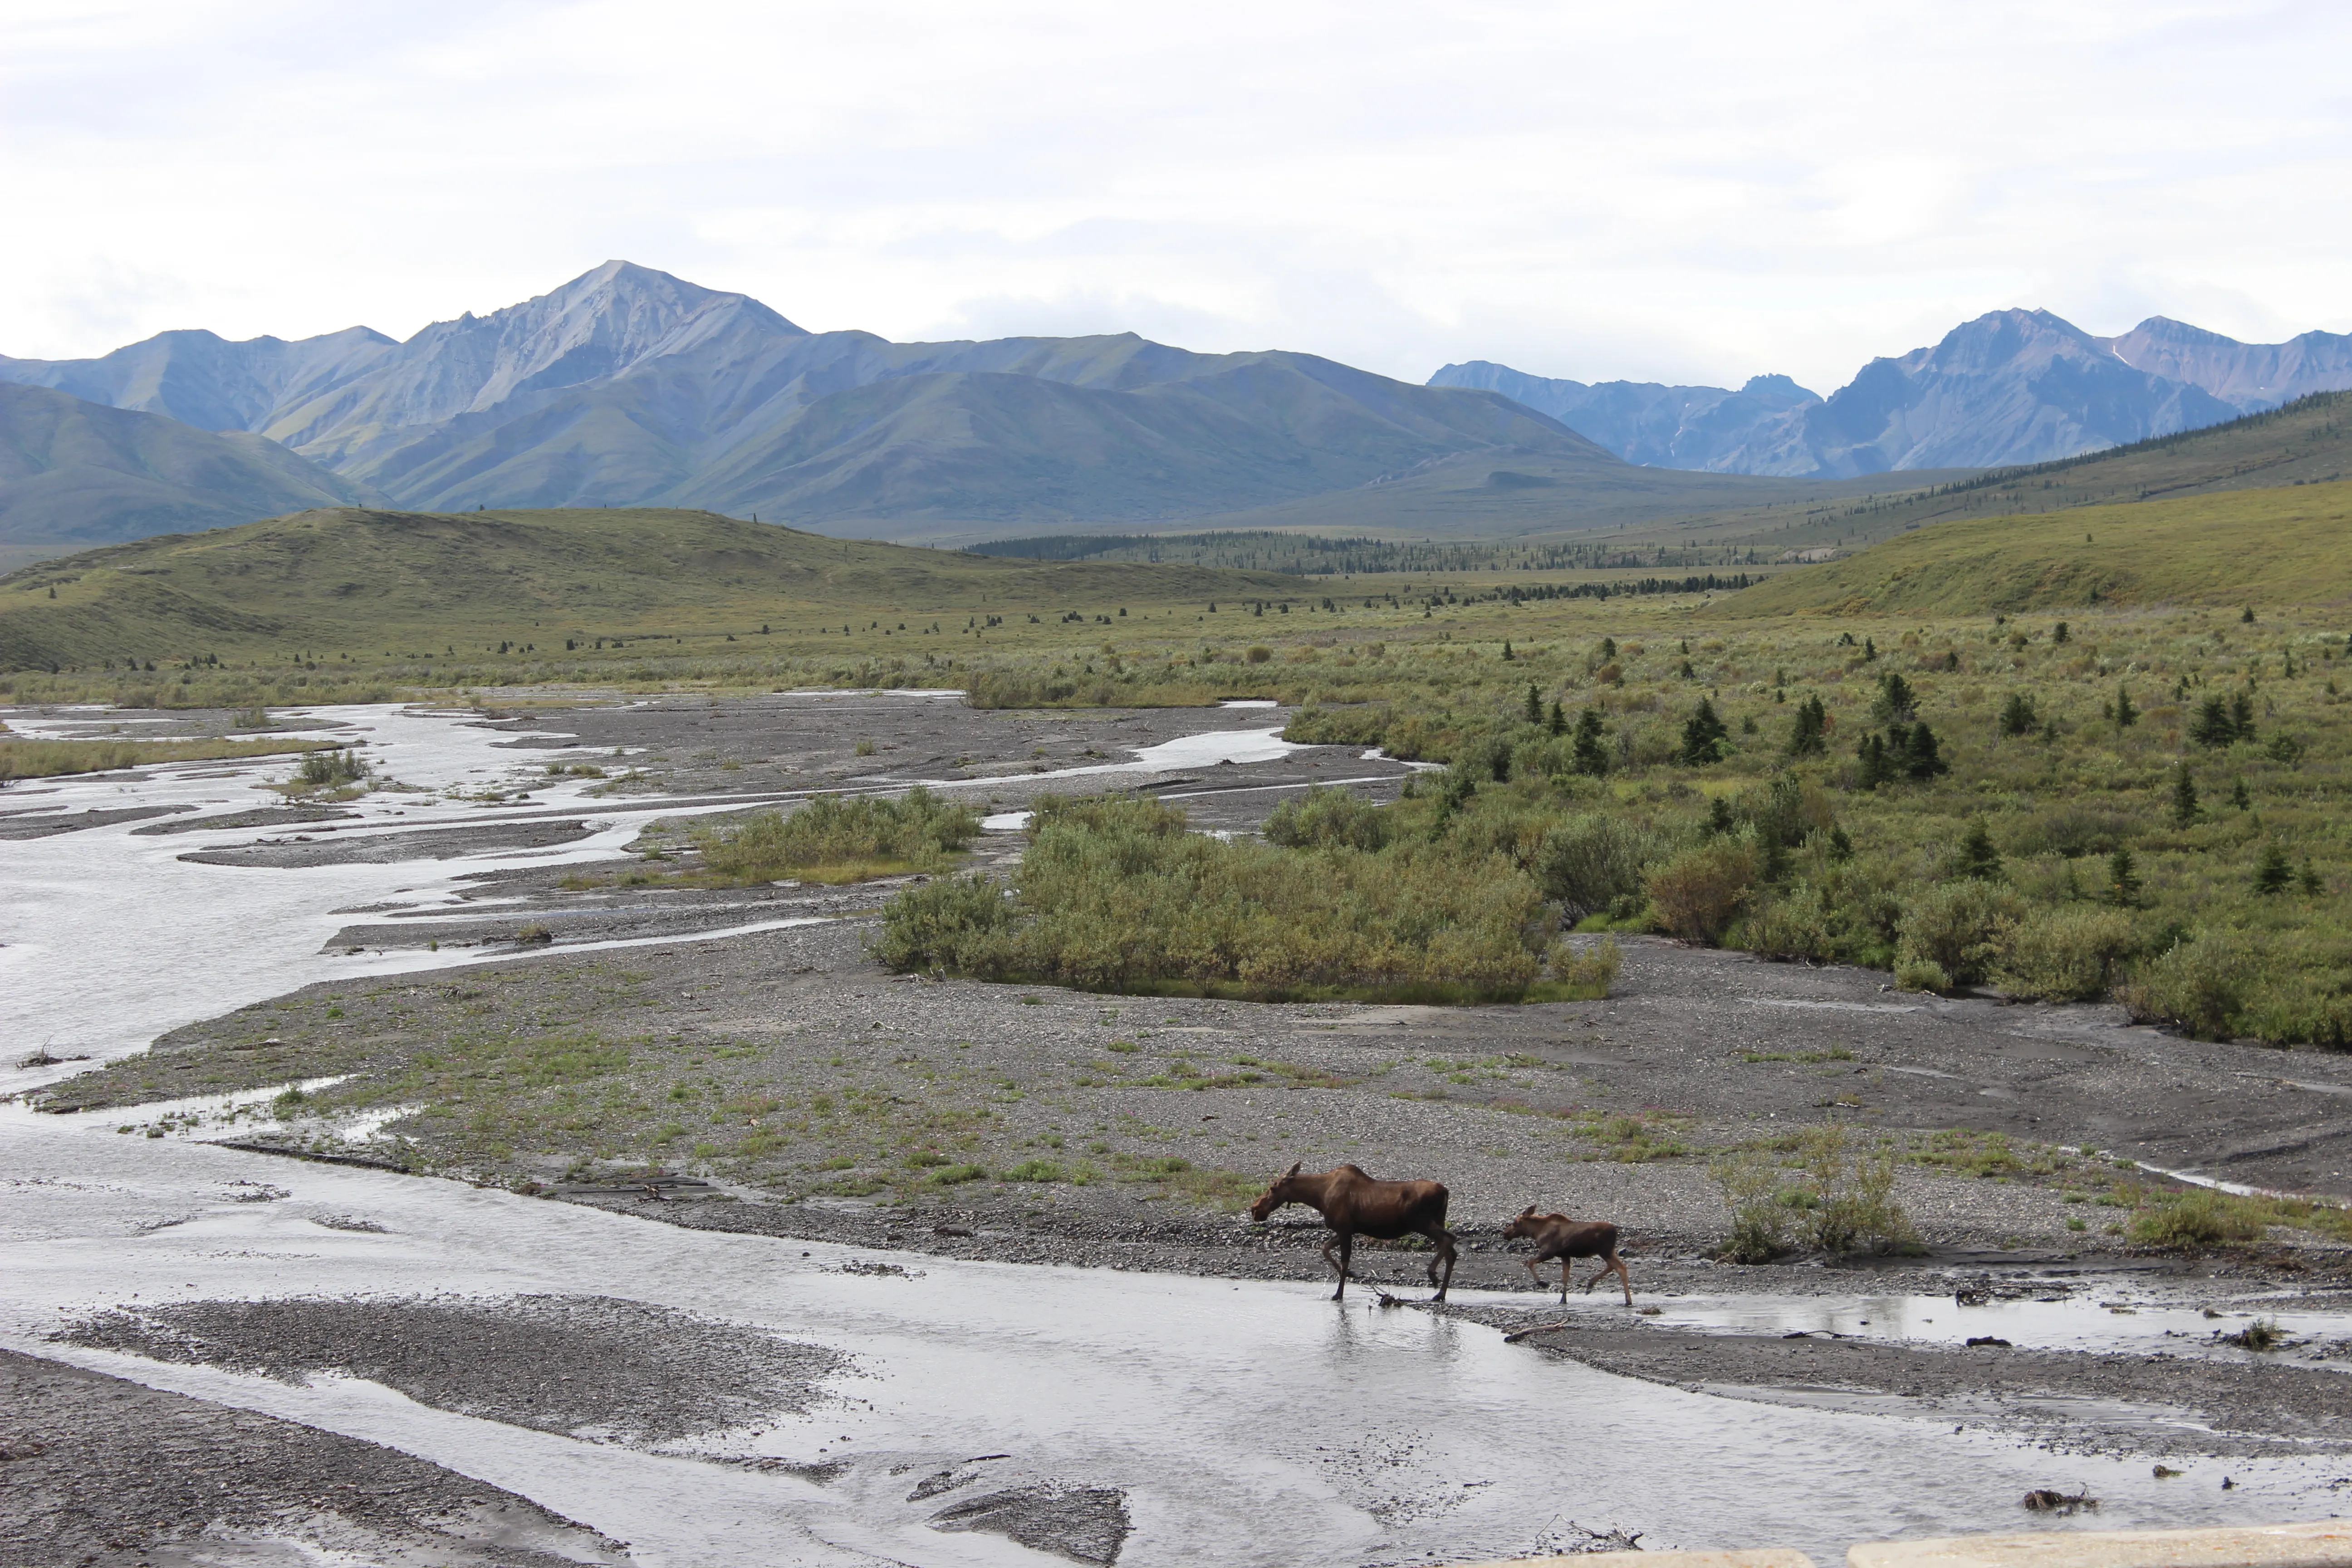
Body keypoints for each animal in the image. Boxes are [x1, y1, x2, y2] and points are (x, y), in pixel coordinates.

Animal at [1247, 1163, 1457, 1302]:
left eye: (1273, 1187)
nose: (1254, 1209)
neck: (1318, 1197)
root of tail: (1445, 1191)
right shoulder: (1346, 1229)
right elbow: (1325, 1249)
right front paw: (1352, 1275)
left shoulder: (1344, 1228)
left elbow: (1343, 1261)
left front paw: (1339, 1293)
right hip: (1436, 1220)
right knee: (1451, 1252)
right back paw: (1441, 1294)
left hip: (1421, 1222)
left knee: (1451, 1238)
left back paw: (1433, 1275)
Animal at [1502, 1207, 1633, 1306]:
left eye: (1515, 1222)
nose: (1505, 1233)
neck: (1536, 1232)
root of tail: (1615, 1232)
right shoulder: (1565, 1256)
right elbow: (1565, 1277)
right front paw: (1563, 1300)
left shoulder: (1548, 1252)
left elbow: (1529, 1262)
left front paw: (1543, 1283)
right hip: (1608, 1252)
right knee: (1614, 1267)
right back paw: (1590, 1285)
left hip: (1605, 1251)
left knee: (1620, 1268)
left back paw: (1628, 1301)